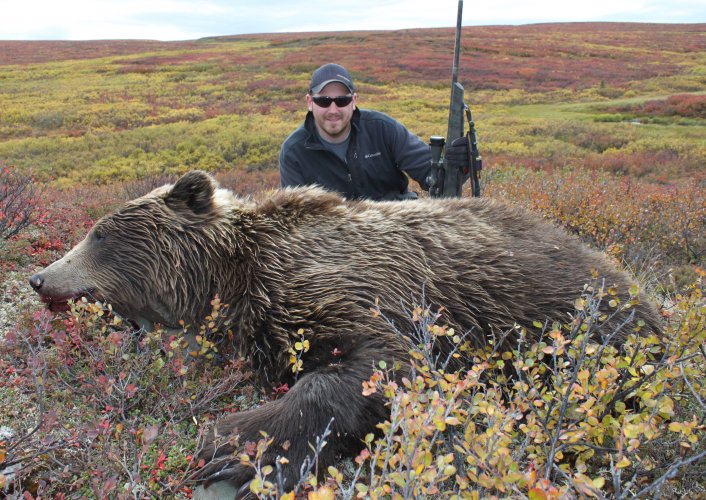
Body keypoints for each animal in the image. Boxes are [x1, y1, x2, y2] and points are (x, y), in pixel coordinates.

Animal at [28, 170, 660, 490]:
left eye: (102, 233)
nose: (38, 277)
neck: (236, 270)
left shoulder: (347, 289)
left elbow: (383, 365)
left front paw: (231, 445)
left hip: (581, 322)